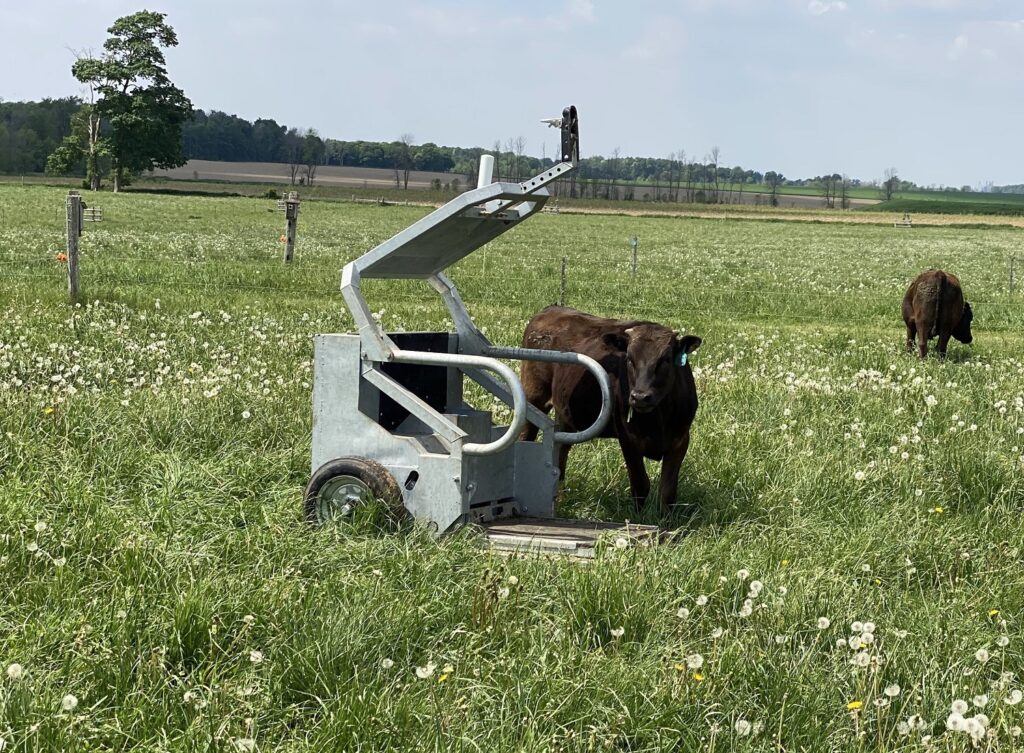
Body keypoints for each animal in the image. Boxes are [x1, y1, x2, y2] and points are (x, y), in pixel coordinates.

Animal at [524, 307, 700, 512]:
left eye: (665, 359)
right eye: (629, 359)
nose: (640, 396)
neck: (658, 419)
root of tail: (552, 309)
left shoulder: (681, 440)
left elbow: (668, 492)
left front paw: (666, 519)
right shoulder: (628, 439)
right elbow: (641, 485)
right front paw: (638, 517)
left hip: (565, 415)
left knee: (561, 452)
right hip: (534, 396)